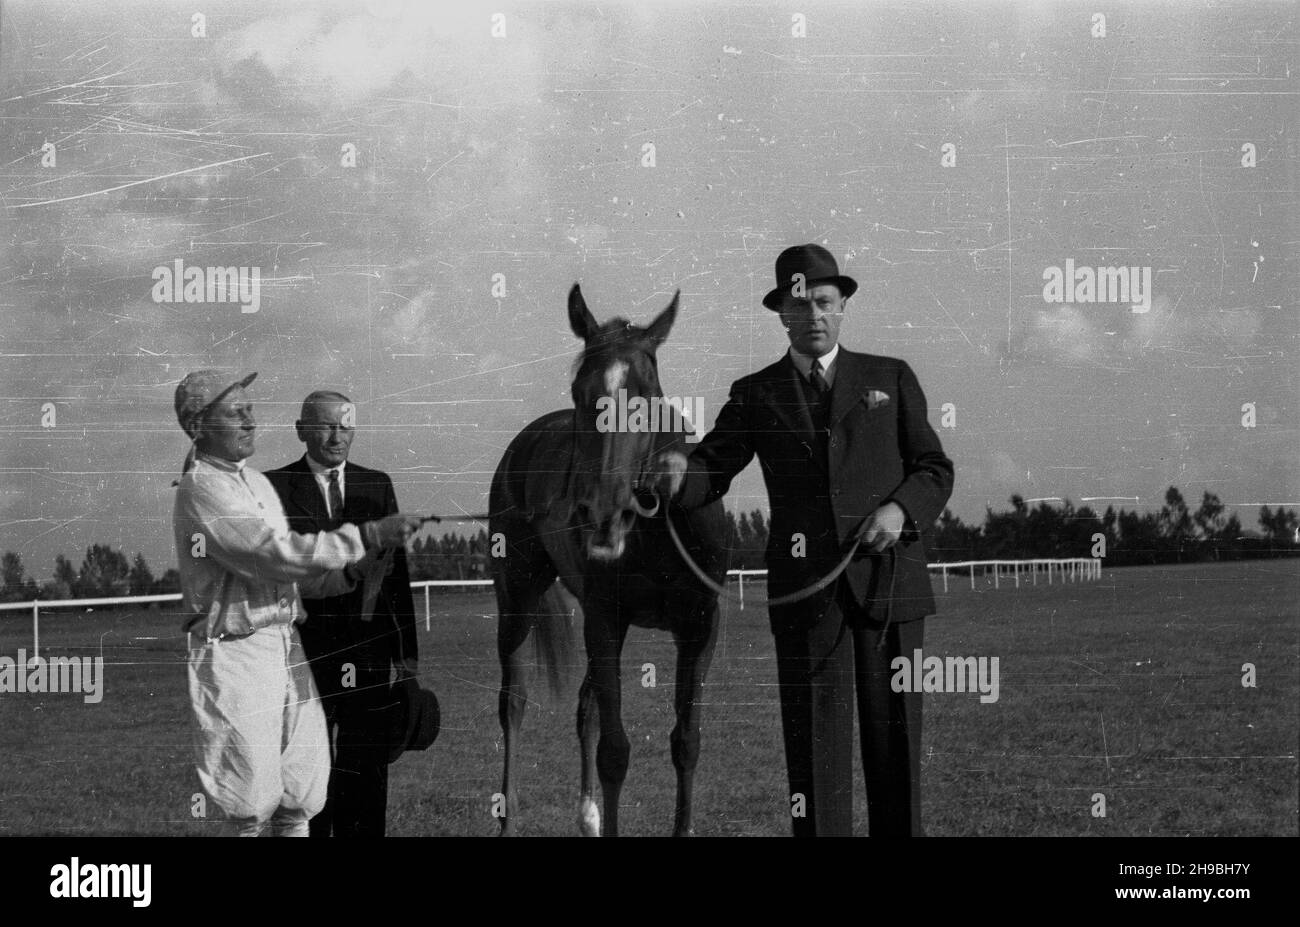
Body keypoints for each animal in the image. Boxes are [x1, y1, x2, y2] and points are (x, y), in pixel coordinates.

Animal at [488, 283, 733, 837]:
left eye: (647, 393)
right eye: (580, 391)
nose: (603, 510)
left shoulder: (699, 627)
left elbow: (686, 741)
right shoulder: (605, 619)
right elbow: (615, 751)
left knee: (586, 708)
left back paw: (589, 816)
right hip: (517, 597)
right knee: (513, 703)